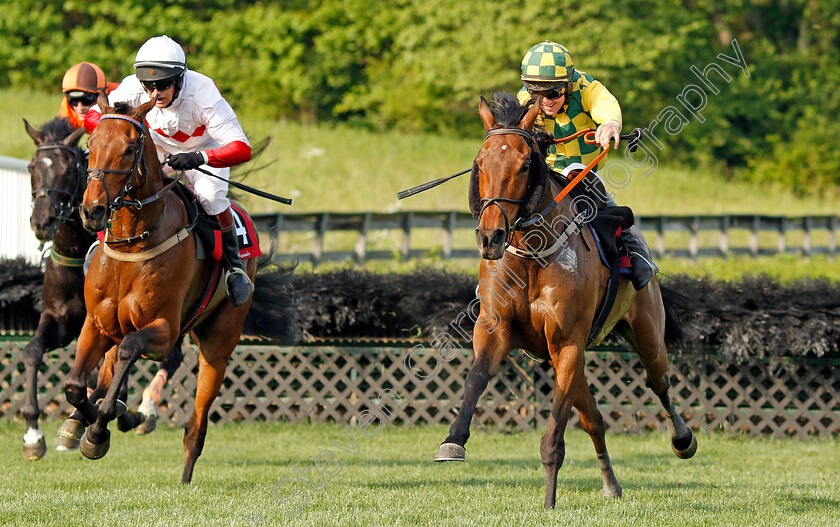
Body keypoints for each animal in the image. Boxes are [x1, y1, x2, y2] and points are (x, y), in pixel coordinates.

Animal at [20, 117, 182, 460]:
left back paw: (143, 409)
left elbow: (106, 369)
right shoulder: (61, 319)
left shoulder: (108, 319)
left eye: (68, 170)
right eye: (32, 167)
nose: (42, 221)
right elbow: (32, 353)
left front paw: (106, 413)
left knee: (171, 357)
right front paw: (32, 434)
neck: (78, 250)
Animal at [70, 96, 296, 486]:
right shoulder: (96, 324)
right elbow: (74, 385)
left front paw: (99, 432)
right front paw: (87, 420)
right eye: (91, 145)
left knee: (197, 423)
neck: (134, 244)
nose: (92, 210)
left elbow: (131, 350)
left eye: (129, 149)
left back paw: (185, 474)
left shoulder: (164, 330)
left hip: (219, 344)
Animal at [434, 94, 696, 508]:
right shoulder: (496, 331)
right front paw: (453, 441)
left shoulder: (568, 343)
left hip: (647, 334)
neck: (531, 256)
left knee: (660, 383)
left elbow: (554, 435)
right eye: (480, 162)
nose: (490, 236)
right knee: (594, 420)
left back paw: (682, 439)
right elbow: (476, 377)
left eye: (525, 164)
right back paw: (610, 483)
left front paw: (549, 501)